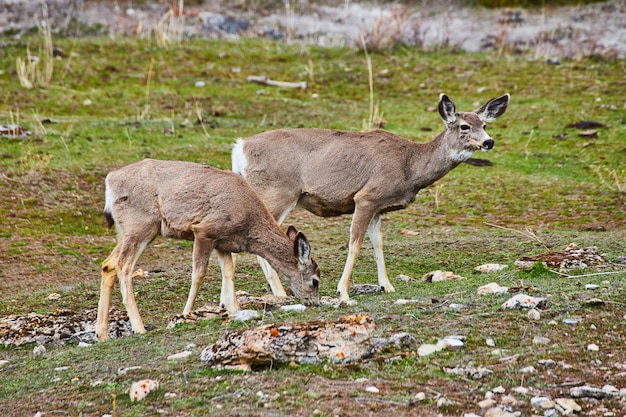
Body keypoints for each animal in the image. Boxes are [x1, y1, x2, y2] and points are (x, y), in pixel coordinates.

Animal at [95, 158, 320, 340]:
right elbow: (199, 274)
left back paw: (102, 334)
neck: (247, 221)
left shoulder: (223, 243)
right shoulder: (204, 230)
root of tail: (110, 181)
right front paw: (185, 314)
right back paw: (139, 328)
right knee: (123, 266)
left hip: (130, 230)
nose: (315, 304)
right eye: (315, 281)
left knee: (108, 264)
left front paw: (233, 309)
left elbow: (228, 273)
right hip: (140, 225)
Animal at [232, 92, 510, 300]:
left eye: (484, 125)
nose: (489, 142)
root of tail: (239, 147)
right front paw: (342, 292)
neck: (409, 166)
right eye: (464, 126)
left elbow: (378, 243)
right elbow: (355, 244)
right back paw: (277, 292)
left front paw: (387, 285)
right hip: (276, 192)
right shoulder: (366, 197)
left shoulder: (379, 206)